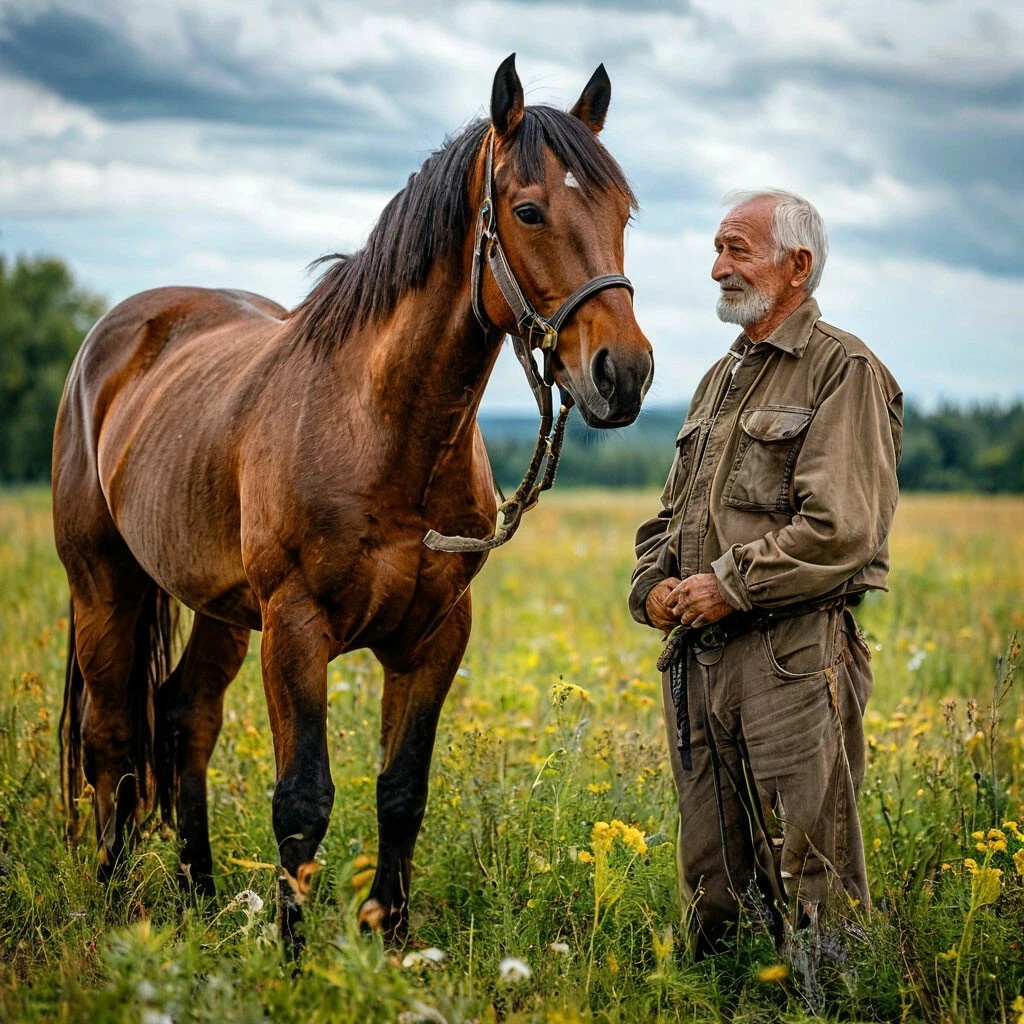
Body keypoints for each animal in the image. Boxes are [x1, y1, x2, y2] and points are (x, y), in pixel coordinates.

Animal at [51, 51, 651, 946]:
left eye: (623, 213)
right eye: (529, 210)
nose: (627, 374)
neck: (384, 429)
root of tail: (114, 334)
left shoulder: (434, 638)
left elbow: (401, 791)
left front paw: (392, 942)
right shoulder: (296, 628)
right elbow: (302, 800)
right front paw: (297, 958)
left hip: (223, 610)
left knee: (186, 718)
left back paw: (199, 896)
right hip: (105, 587)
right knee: (114, 741)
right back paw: (115, 898)